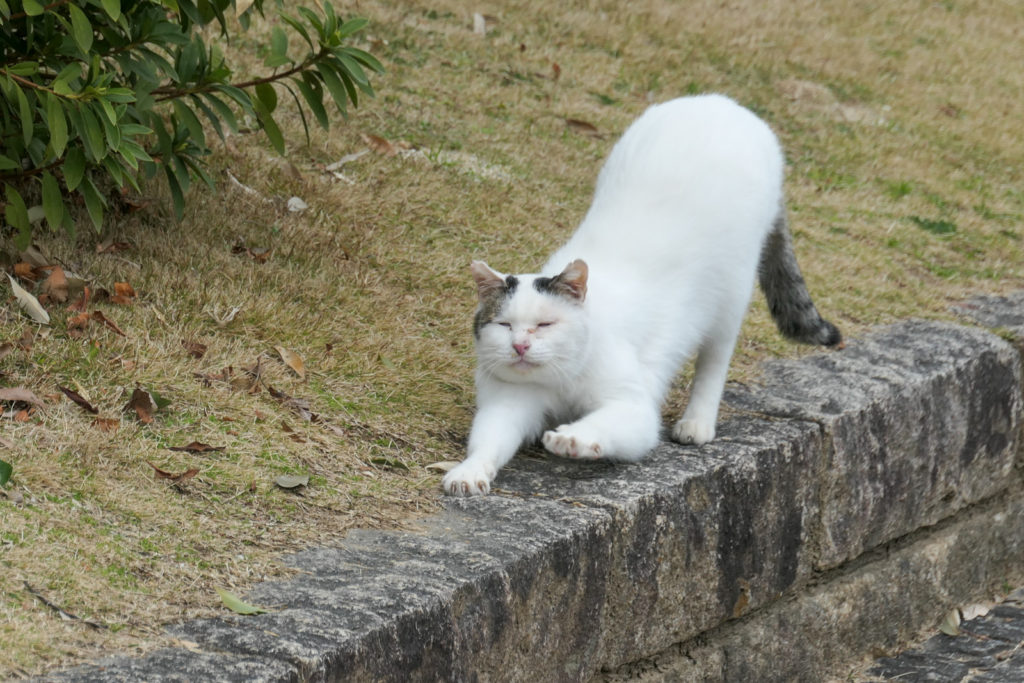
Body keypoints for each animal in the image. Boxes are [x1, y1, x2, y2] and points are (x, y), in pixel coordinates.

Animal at [444, 93, 843, 497]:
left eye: (545, 324)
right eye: (504, 325)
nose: (520, 346)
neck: (563, 378)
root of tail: (723, 101)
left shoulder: (633, 406)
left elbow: (609, 423)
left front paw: (574, 438)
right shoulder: (508, 403)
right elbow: (489, 441)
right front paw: (469, 471)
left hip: (732, 292)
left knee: (715, 359)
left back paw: (697, 422)